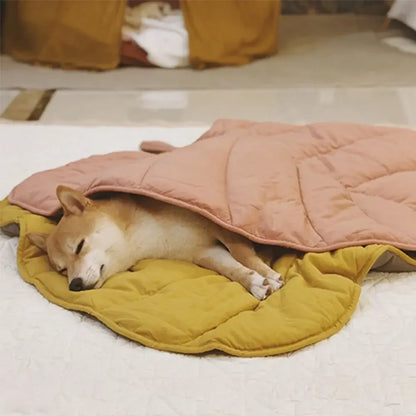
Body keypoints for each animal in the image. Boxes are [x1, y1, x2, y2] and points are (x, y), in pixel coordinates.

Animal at [27, 185, 284, 300]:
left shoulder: (219, 223)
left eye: (80, 246)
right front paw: (255, 282)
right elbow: (232, 268)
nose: (75, 285)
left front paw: (268, 274)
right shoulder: (204, 252)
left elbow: (243, 254)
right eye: (62, 270)